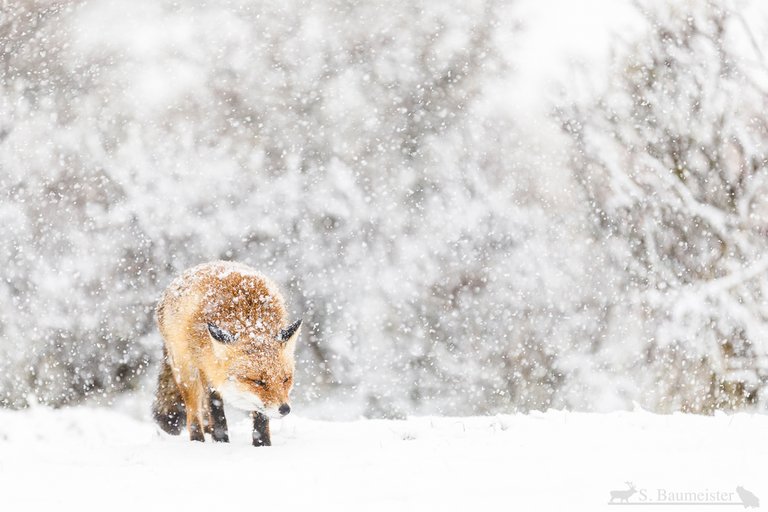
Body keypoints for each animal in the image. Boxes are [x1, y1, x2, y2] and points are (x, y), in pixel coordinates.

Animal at [152, 262, 302, 446]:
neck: (247, 316)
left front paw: (262, 444)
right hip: (187, 373)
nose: (285, 409)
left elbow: (260, 416)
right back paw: (198, 441)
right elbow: (216, 410)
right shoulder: (208, 369)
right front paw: (221, 441)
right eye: (258, 382)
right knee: (193, 414)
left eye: (286, 379)